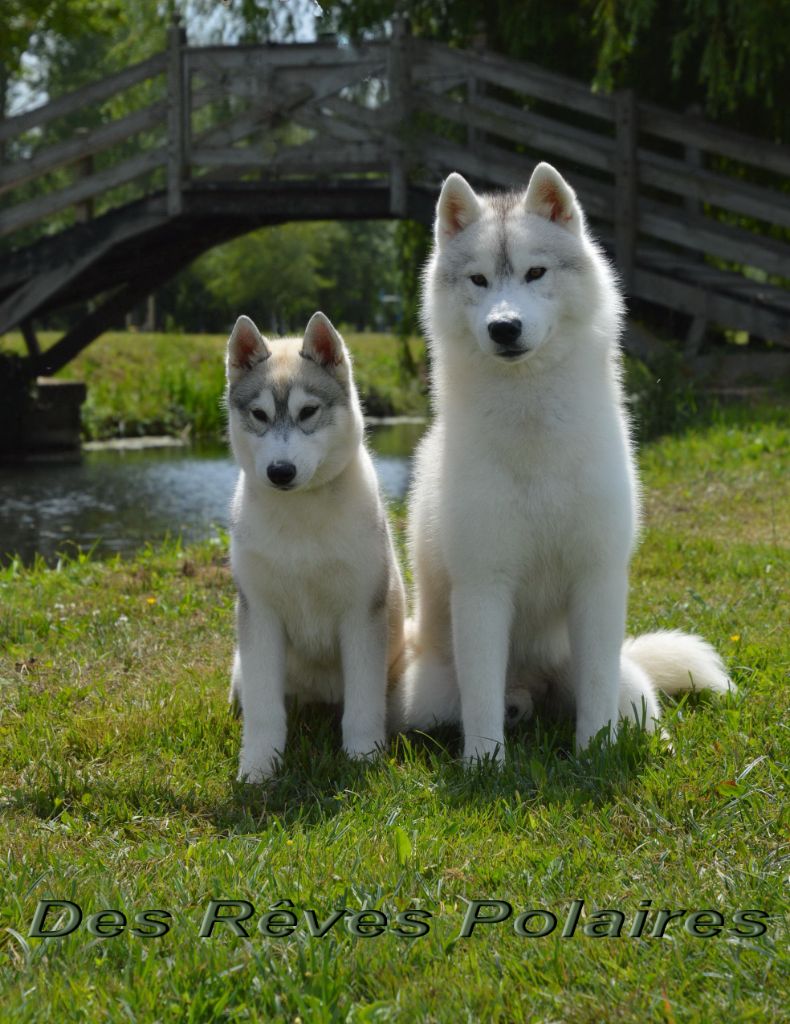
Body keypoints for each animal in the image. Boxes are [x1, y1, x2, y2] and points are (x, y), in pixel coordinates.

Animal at [225, 307, 405, 778]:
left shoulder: (362, 614)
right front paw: (258, 768)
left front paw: (363, 756)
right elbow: (264, 709)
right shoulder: (260, 615)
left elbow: (362, 705)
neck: (301, 518)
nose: (280, 471)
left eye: (307, 411)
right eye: (260, 414)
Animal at [399, 163, 733, 765]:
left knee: (635, 704)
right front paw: (484, 766)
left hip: (625, 678)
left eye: (536, 272)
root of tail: (536, 686)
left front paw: (595, 752)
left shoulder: (597, 579)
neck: (534, 432)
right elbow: (481, 699)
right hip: (428, 698)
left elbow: (597, 694)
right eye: (479, 280)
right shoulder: (483, 586)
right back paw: (513, 710)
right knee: (481, 702)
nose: (504, 327)